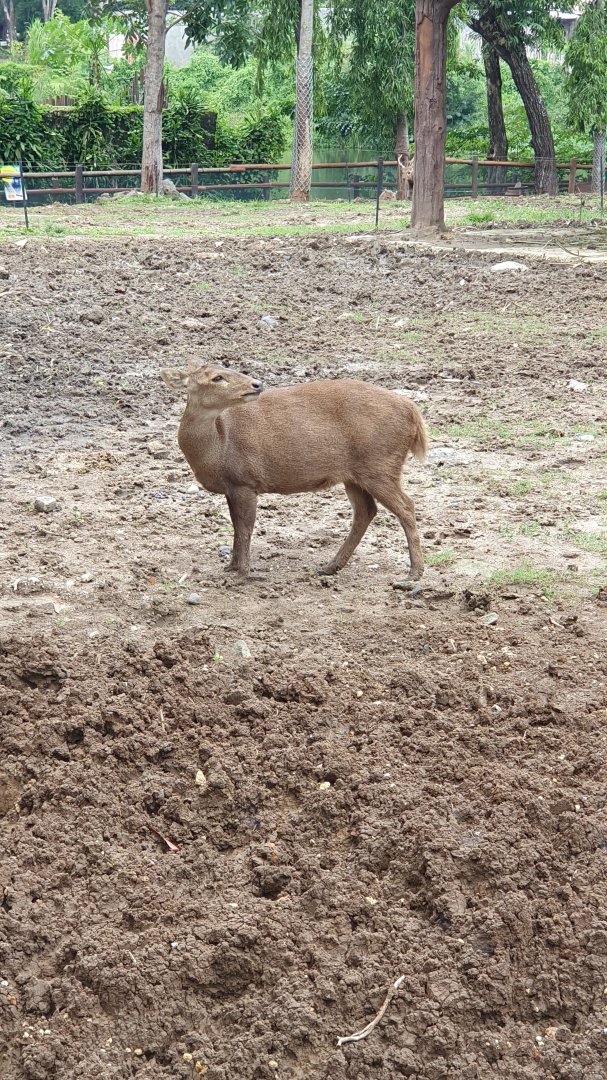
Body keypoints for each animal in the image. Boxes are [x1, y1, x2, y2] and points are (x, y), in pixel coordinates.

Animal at [160, 366, 428, 581]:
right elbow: (236, 527)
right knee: (366, 511)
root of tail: (413, 411)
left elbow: (245, 528)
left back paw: (414, 573)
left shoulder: (245, 480)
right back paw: (330, 566)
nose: (256, 384)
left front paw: (242, 573)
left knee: (406, 506)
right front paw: (230, 567)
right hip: (354, 474)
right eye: (217, 377)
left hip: (380, 464)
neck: (218, 447)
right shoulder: (232, 486)